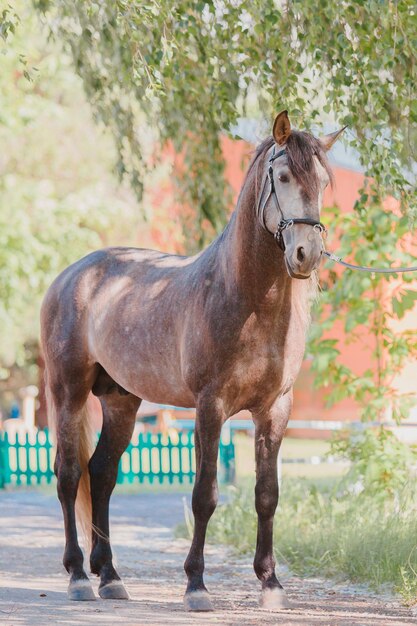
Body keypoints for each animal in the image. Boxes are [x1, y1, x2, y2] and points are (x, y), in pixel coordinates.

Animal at [40, 109, 342, 608]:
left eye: (321, 181)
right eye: (282, 176)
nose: (307, 255)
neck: (245, 298)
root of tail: (71, 275)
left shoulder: (275, 409)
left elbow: (267, 495)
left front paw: (270, 584)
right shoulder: (210, 406)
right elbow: (205, 495)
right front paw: (196, 584)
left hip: (121, 401)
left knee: (101, 474)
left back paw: (110, 576)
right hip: (69, 391)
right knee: (68, 477)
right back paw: (79, 576)